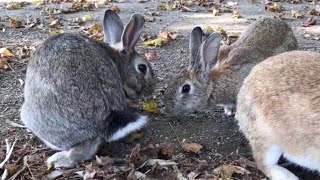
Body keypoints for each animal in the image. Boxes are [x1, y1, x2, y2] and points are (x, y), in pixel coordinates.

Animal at [20, 9, 155, 168]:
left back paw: (57, 160)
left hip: (31, 116)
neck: (117, 61)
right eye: (142, 68)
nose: (149, 90)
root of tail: (103, 122)